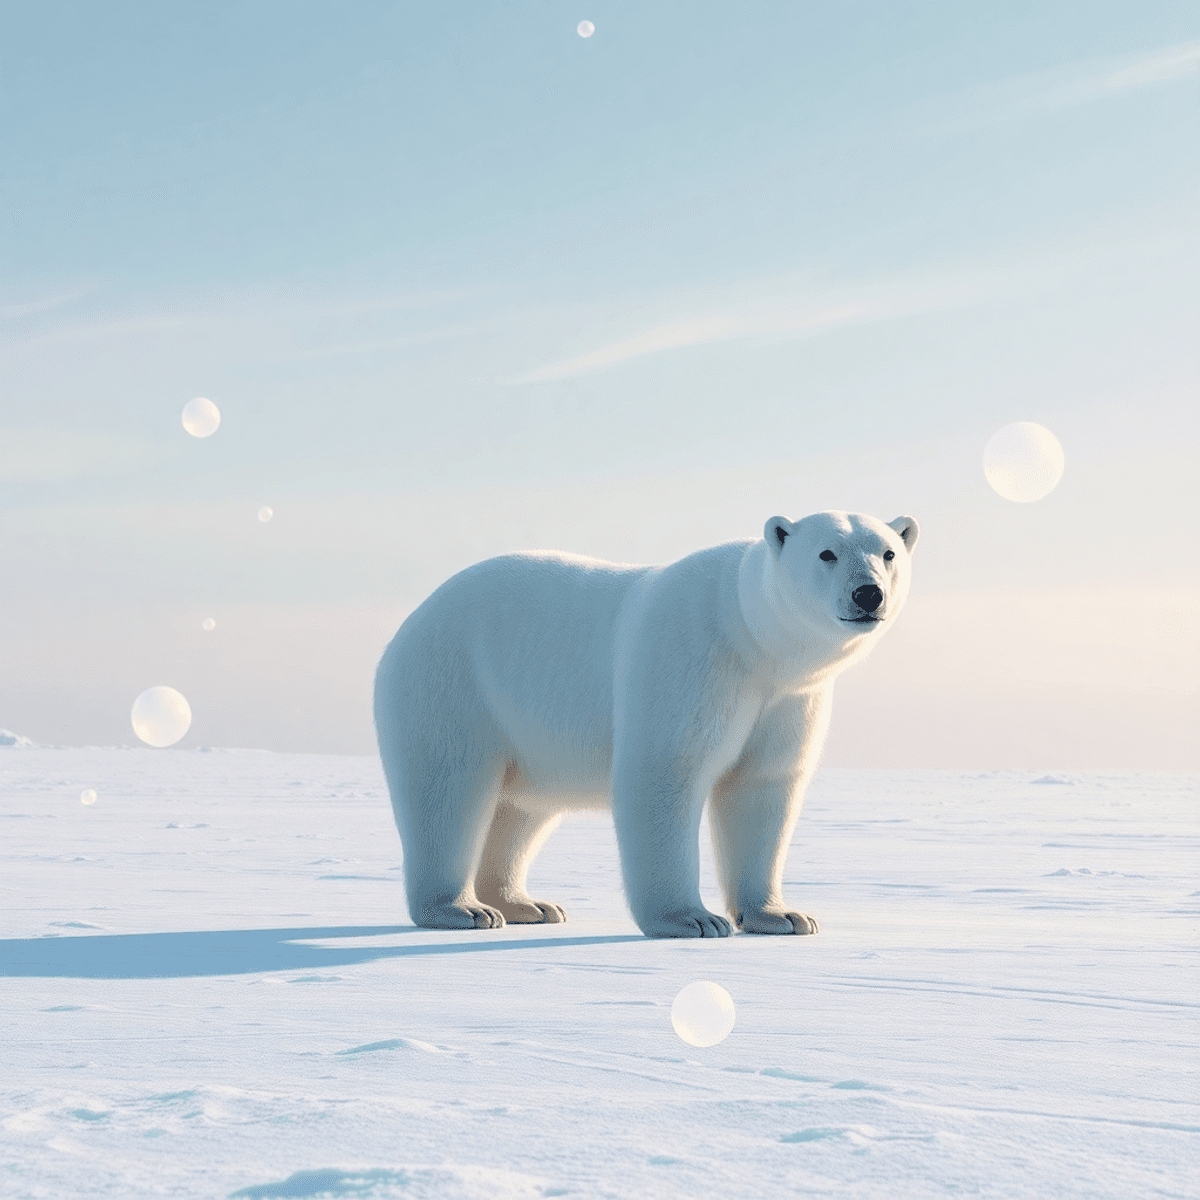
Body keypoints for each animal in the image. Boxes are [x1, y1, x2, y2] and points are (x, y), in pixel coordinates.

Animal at [373, 510, 918, 938]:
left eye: (888, 552)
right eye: (826, 553)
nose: (868, 594)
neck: (753, 640)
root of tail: (413, 619)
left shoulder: (787, 699)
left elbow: (762, 787)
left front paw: (782, 916)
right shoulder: (693, 662)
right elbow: (666, 772)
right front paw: (693, 920)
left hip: (525, 728)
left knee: (522, 807)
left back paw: (526, 903)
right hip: (452, 684)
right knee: (447, 789)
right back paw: (461, 909)